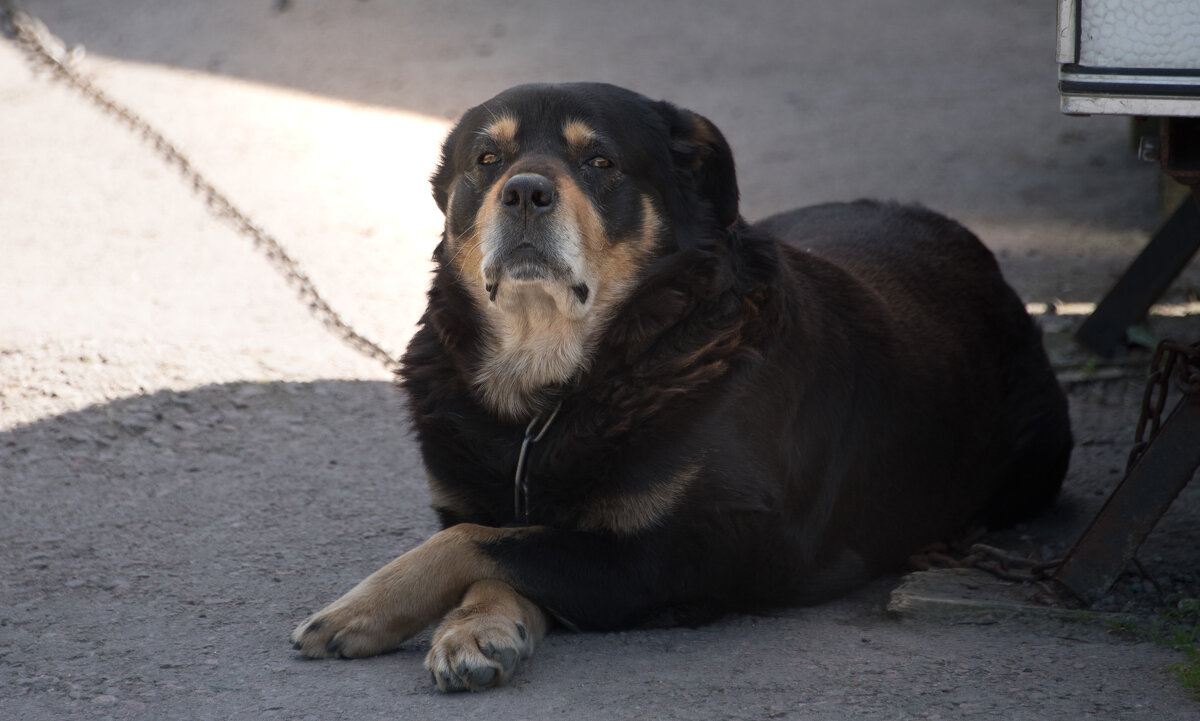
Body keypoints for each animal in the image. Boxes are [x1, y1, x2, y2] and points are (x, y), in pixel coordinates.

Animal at [288, 82, 1070, 691]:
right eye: (488, 159)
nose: (524, 191)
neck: (554, 388)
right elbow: (495, 538)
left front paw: (362, 609)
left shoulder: (690, 552)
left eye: (599, 161)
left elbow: (486, 544)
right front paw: (477, 628)